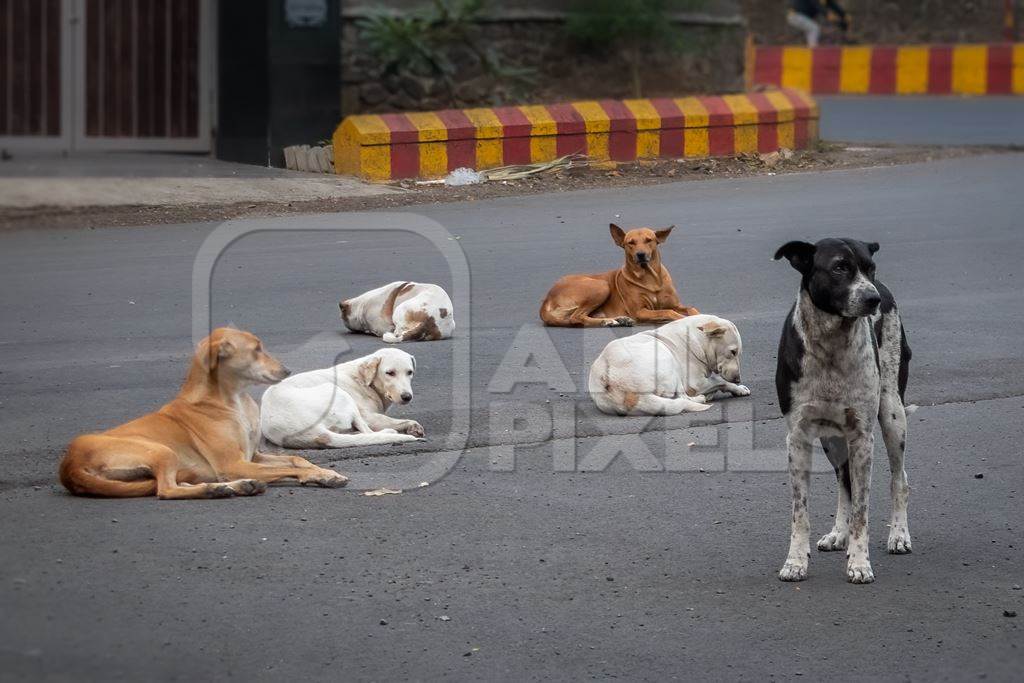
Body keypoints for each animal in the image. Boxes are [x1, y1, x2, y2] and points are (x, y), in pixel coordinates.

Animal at [59, 327, 348, 499]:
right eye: (256, 349)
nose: (287, 370)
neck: (234, 401)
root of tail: (69, 465)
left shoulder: (253, 455)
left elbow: (297, 460)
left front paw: (323, 472)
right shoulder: (234, 464)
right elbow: (290, 468)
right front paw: (319, 475)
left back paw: (233, 486)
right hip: (162, 451)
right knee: (165, 490)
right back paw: (215, 488)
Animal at [264, 348, 428, 448]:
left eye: (410, 372)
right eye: (390, 373)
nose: (407, 397)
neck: (363, 379)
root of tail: (316, 432)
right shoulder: (369, 417)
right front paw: (412, 426)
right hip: (340, 393)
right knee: (369, 432)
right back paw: (387, 432)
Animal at [540, 224, 700, 327]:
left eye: (649, 240)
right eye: (631, 243)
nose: (640, 255)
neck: (650, 279)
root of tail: (547, 298)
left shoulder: (676, 305)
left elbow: (691, 309)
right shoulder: (640, 311)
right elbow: (668, 311)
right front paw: (683, 319)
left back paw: (619, 320)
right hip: (601, 285)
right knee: (576, 318)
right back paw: (607, 321)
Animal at [589, 315, 749, 417]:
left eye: (739, 353)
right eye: (733, 352)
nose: (738, 379)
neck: (698, 340)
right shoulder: (695, 383)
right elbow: (721, 381)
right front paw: (738, 388)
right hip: (666, 356)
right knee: (684, 398)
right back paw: (700, 399)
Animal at [774, 237, 913, 585]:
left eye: (870, 267)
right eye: (839, 267)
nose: (873, 299)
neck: (831, 345)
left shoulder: (863, 437)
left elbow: (862, 510)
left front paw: (860, 562)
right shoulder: (798, 437)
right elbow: (800, 512)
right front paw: (795, 561)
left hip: (892, 414)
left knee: (899, 478)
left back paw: (899, 535)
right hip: (831, 438)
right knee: (844, 482)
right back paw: (839, 533)